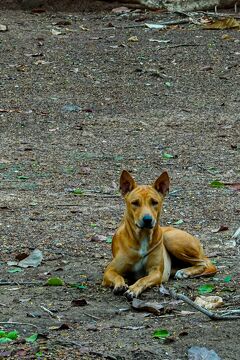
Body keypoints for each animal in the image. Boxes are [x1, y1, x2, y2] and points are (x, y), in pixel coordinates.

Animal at [102, 170, 217, 300]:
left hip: (171, 239)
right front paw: (120, 285)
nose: (147, 219)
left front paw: (133, 289)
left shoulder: (156, 272)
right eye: (135, 203)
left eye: (154, 202)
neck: (143, 236)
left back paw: (185, 272)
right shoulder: (109, 271)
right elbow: (117, 276)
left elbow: (143, 280)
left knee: (203, 263)